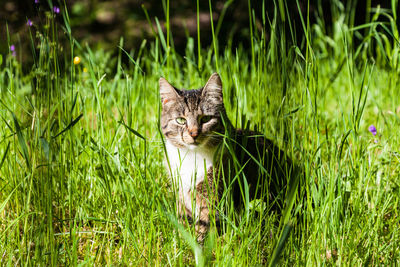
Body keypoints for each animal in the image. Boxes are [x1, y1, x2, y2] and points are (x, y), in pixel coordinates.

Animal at [159, 73, 296, 243]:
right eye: (181, 120)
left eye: (206, 119)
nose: (194, 133)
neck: (193, 155)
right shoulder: (181, 189)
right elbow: (183, 218)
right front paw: (179, 238)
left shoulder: (214, 193)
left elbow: (205, 224)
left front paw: (197, 243)